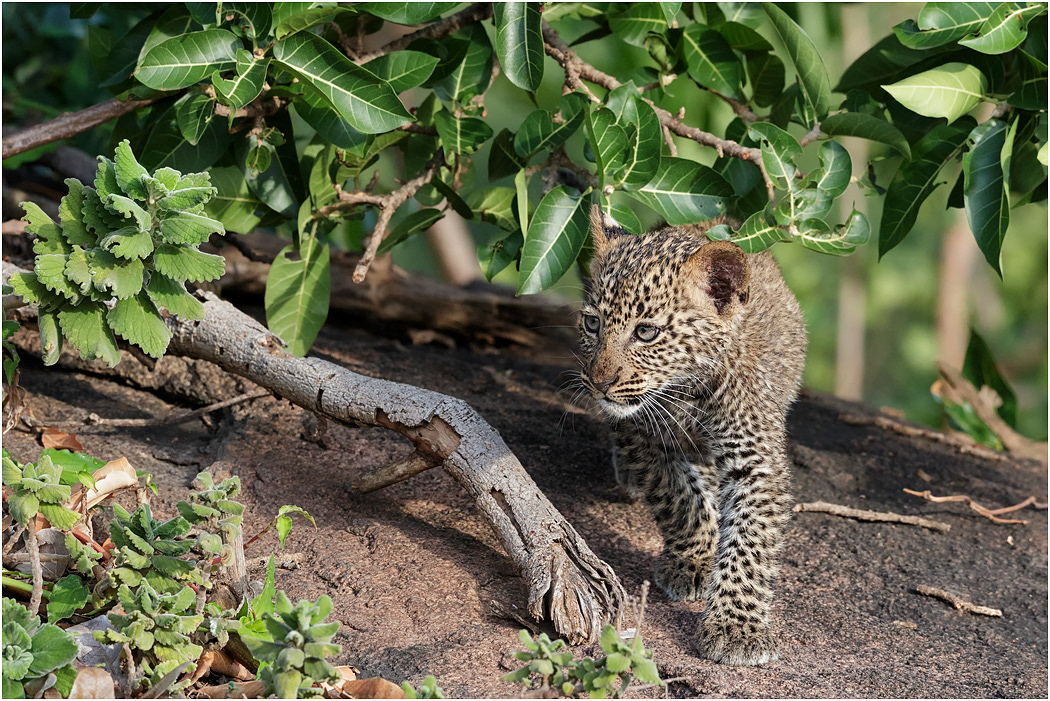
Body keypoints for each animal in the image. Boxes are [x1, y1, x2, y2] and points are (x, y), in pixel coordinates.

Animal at [576, 205, 807, 666]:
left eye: (646, 332)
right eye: (592, 323)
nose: (599, 383)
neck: (685, 390)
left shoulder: (756, 460)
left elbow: (750, 544)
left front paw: (737, 627)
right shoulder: (639, 437)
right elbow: (681, 498)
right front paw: (695, 561)